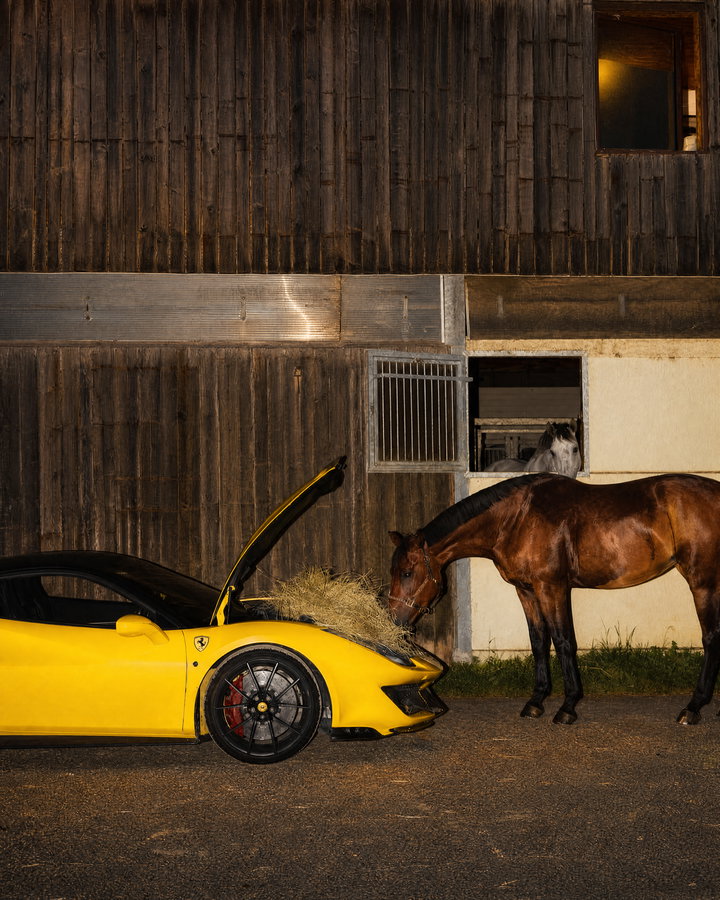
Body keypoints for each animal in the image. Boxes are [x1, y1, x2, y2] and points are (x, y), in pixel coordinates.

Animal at [388, 473, 720, 726]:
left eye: (406, 572)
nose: (395, 620)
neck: (517, 518)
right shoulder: (526, 590)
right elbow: (538, 641)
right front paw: (536, 701)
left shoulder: (552, 587)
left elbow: (562, 641)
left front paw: (567, 706)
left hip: (702, 582)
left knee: (710, 638)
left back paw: (692, 708)